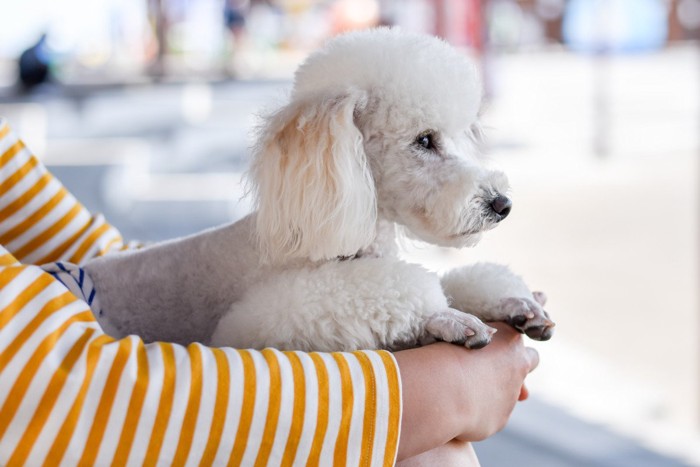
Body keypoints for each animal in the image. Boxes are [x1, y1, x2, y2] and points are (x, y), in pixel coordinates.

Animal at [83, 28, 552, 352]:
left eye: (459, 135)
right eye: (424, 140)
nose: (502, 204)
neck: (342, 248)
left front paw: (512, 301)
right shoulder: (257, 323)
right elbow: (404, 290)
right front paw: (448, 317)